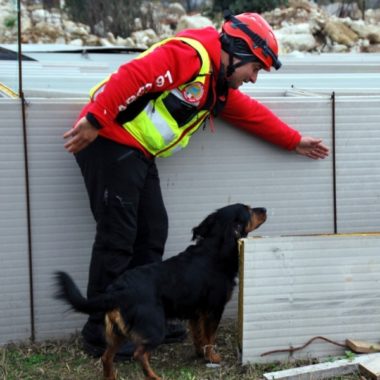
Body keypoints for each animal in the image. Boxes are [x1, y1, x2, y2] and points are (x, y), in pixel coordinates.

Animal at [55, 203, 266, 378]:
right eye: (249, 211)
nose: (264, 209)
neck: (213, 251)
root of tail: (119, 290)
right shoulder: (214, 310)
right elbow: (209, 337)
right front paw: (212, 357)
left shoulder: (195, 313)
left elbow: (198, 336)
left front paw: (200, 354)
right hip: (154, 327)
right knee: (139, 354)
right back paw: (154, 377)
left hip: (117, 333)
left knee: (106, 357)